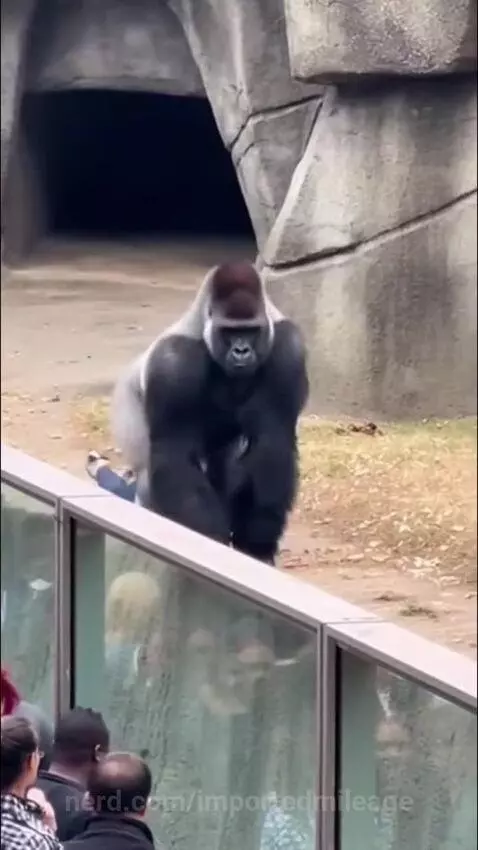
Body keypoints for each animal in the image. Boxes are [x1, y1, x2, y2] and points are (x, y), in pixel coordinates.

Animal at [112, 262, 309, 565]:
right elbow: (175, 454)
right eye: (228, 332)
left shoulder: (289, 347)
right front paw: (212, 545)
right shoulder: (172, 363)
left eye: (251, 331)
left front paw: (258, 540)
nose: (242, 350)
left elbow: (272, 441)